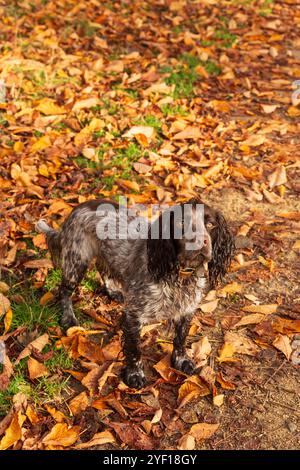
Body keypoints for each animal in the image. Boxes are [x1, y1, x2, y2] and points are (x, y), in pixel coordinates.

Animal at [37, 196, 234, 388]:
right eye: (181, 223)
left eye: (210, 224)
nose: (200, 241)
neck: (179, 277)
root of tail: (76, 209)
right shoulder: (134, 315)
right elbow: (134, 349)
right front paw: (134, 374)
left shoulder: (186, 310)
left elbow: (180, 338)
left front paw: (181, 360)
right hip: (76, 262)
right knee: (64, 290)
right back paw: (68, 318)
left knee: (103, 267)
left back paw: (114, 291)